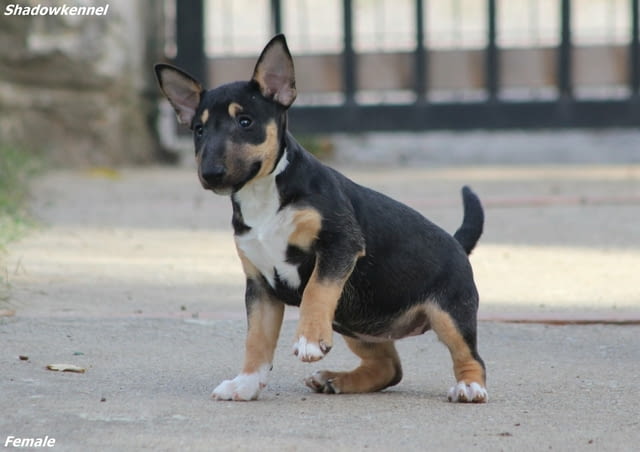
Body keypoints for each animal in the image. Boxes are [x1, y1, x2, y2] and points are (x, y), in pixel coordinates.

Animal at [154, 34, 484, 402]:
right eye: (198, 130)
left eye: (245, 122)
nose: (211, 174)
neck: (265, 195)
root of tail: (457, 243)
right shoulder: (260, 287)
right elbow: (256, 340)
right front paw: (245, 383)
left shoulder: (340, 245)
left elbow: (316, 289)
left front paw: (309, 340)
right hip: (355, 324)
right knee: (390, 368)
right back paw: (334, 380)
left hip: (449, 313)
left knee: (470, 356)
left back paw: (469, 387)